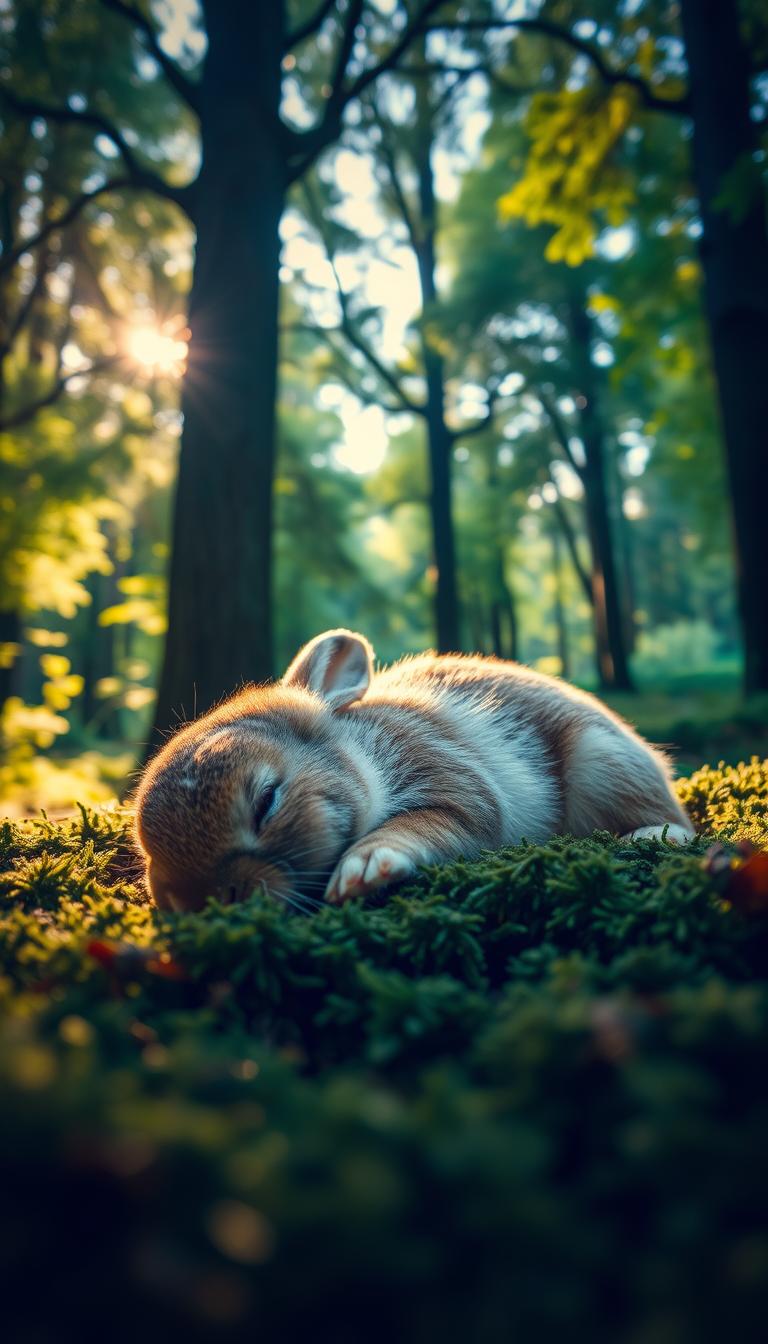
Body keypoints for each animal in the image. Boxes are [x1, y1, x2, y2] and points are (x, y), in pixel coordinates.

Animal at [135, 628, 694, 913]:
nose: (205, 903)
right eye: (151, 858)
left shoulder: (449, 781)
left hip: (602, 763)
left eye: (266, 800)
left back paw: (650, 836)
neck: (360, 755)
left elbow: (430, 823)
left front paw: (364, 869)